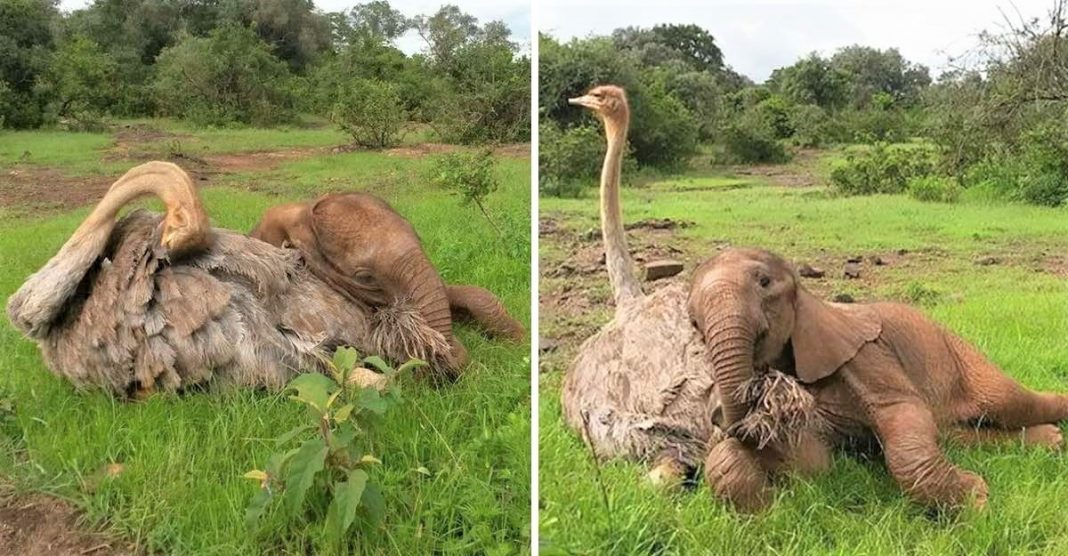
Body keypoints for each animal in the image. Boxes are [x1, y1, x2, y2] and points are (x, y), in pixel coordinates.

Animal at [687, 249, 1063, 510]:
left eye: (764, 282)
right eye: (693, 321)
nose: (720, 418)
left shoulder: (866, 355)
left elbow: (903, 413)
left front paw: (978, 503)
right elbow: (813, 462)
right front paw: (770, 509)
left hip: (958, 354)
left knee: (1008, 402)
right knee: (950, 432)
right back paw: (1052, 440)